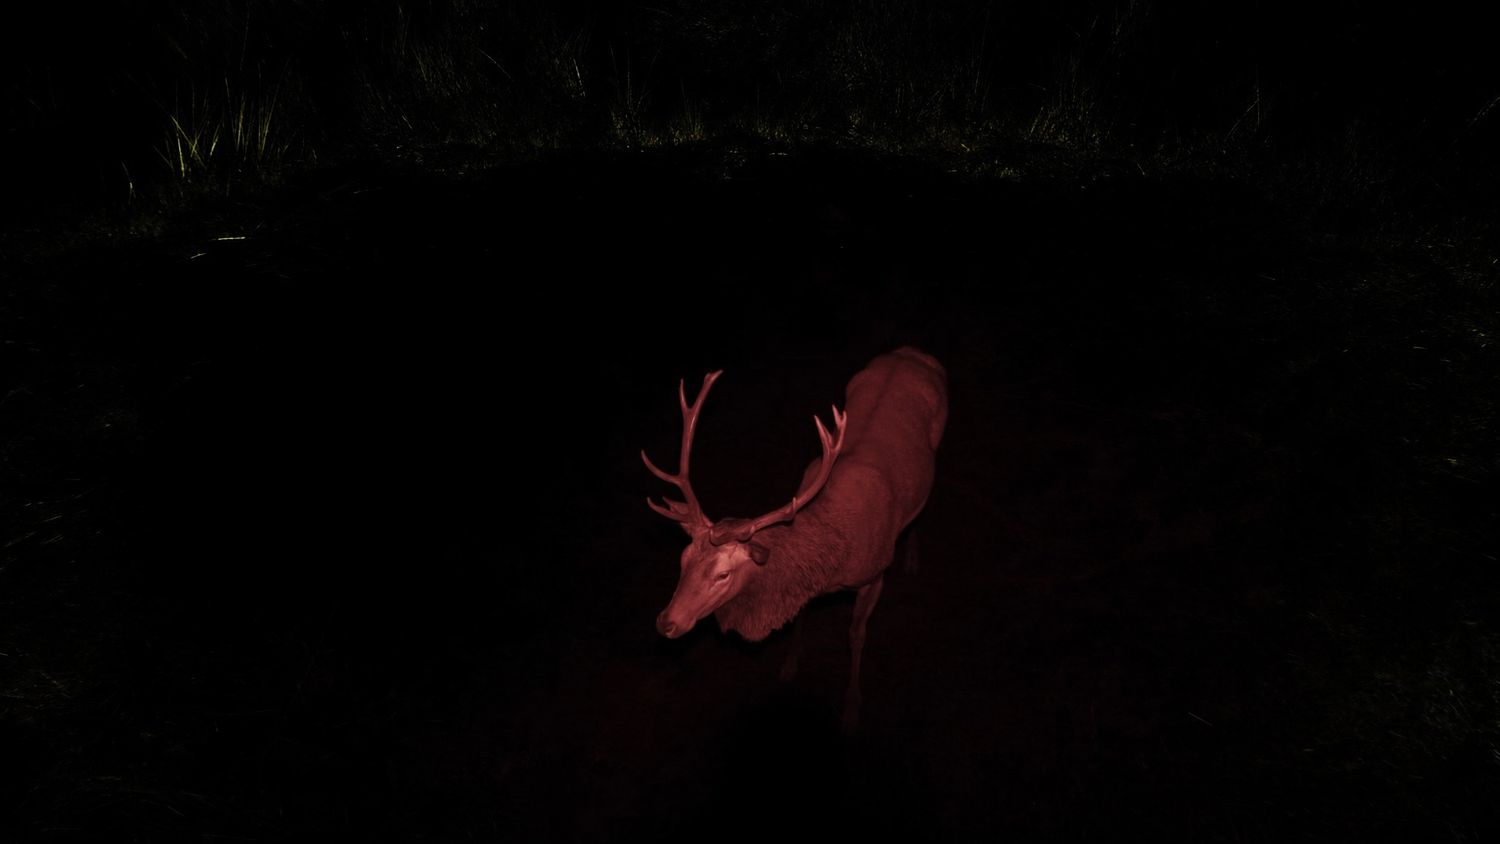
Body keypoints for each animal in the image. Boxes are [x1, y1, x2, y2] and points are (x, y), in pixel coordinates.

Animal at [643, 347, 948, 733]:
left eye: (723, 574)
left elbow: (856, 635)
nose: (666, 623)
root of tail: (912, 352)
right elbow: (800, 616)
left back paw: (911, 560)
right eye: (682, 561)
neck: (834, 553)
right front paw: (788, 666)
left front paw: (851, 708)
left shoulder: (875, 573)